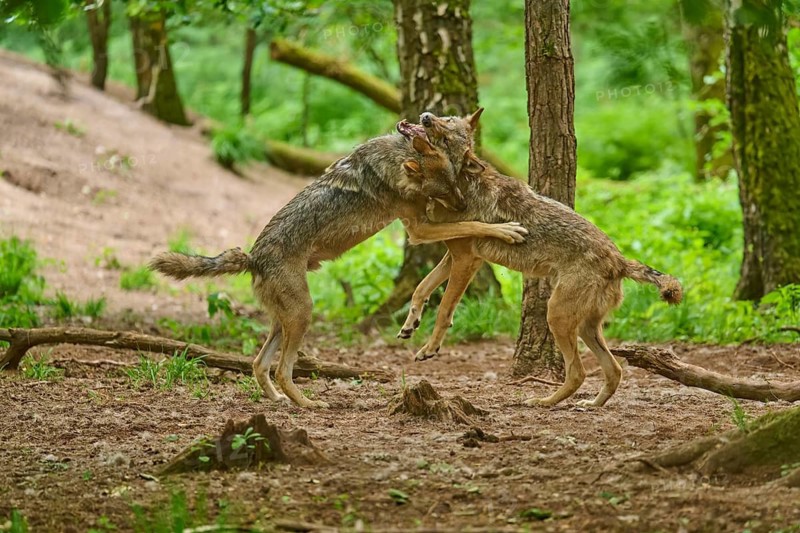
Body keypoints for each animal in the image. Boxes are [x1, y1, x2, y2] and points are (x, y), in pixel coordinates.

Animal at [150, 111, 528, 408]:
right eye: (447, 189)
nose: (425, 117)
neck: (401, 155)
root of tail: (253, 258)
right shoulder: (419, 229)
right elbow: (472, 225)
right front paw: (506, 229)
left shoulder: (424, 225)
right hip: (302, 314)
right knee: (282, 370)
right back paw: (307, 404)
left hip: (284, 321)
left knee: (259, 364)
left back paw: (279, 400)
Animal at [396, 112, 683, 408]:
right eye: (446, 118)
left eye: (445, 137)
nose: (426, 117)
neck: (460, 186)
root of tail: (620, 260)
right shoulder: (454, 256)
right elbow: (421, 289)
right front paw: (409, 326)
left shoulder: (466, 259)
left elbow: (443, 310)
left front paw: (430, 349)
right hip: (585, 327)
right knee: (614, 369)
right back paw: (590, 405)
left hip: (556, 316)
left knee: (578, 373)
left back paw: (543, 402)